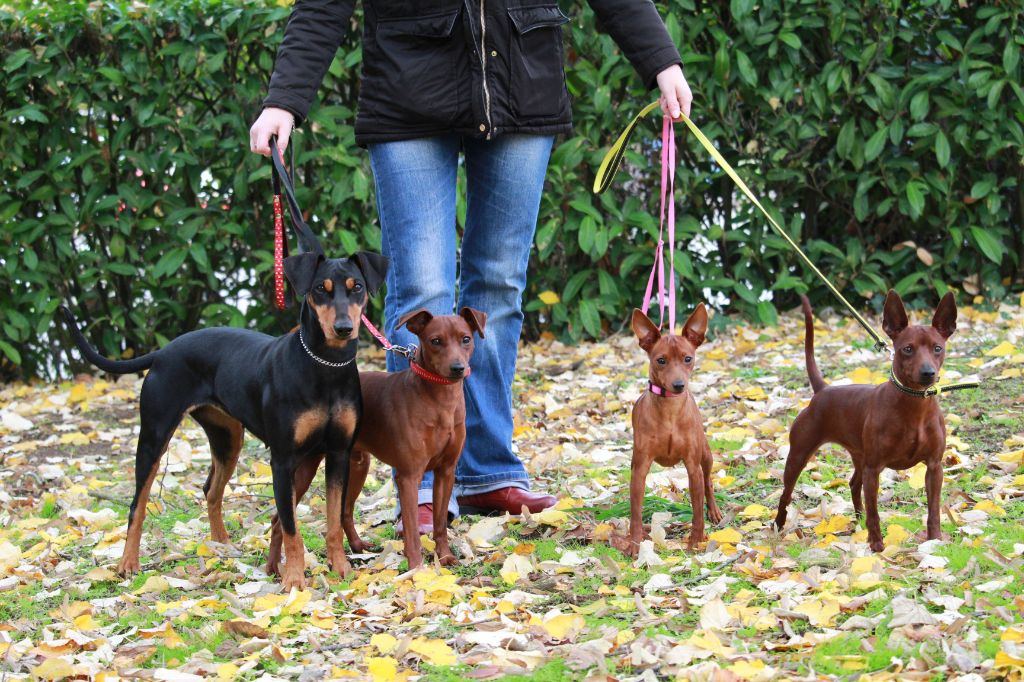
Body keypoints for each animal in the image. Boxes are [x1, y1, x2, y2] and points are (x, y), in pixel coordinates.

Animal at [60, 249, 387, 589]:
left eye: (357, 287)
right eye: (320, 289)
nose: (343, 328)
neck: (326, 366)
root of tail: (163, 351)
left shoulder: (338, 454)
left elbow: (333, 520)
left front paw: (341, 569)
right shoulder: (283, 461)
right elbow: (292, 529)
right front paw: (295, 580)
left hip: (228, 438)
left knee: (211, 490)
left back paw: (221, 546)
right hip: (154, 437)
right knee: (137, 504)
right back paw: (128, 563)